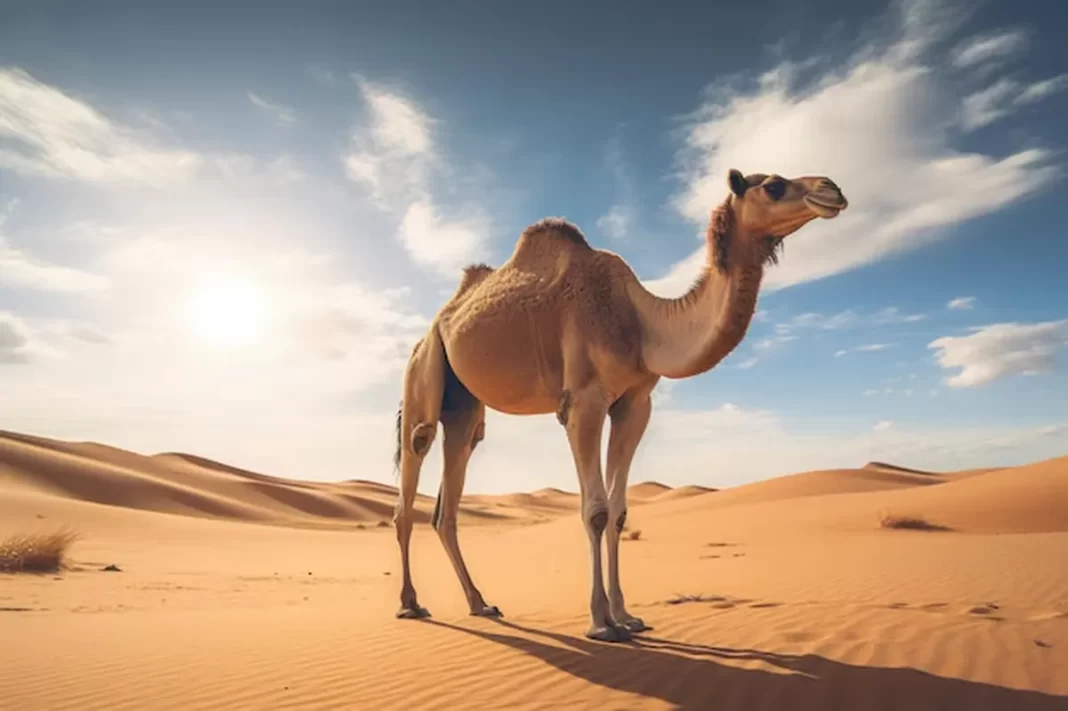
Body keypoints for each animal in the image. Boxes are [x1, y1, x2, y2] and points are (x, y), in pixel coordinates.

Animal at [391, 168, 848, 642]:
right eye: (773, 185)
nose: (832, 188)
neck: (642, 323)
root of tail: (435, 323)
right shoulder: (583, 401)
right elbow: (595, 511)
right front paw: (600, 622)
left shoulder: (634, 402)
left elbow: (619, 512)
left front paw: (627, 616)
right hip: (424, 366)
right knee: (414, 459)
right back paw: (411, 604)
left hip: (464, 404)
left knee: (452, 487)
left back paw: (480, 603)